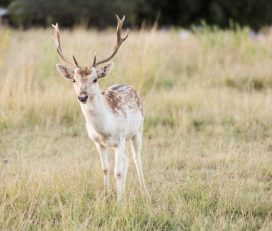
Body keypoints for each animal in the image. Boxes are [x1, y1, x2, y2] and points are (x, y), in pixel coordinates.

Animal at [52, 15, 151, 201]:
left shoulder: (120, 138)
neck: (105, 129)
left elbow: (117, 171)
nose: (82, 96)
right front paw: (107, 195)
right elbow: (105, 168)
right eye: (74, 79)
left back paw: (145, 192)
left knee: (136, 158)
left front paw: (119, 201)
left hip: (138, 130)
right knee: (127, 160)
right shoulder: (98, 142)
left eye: (95, 79)